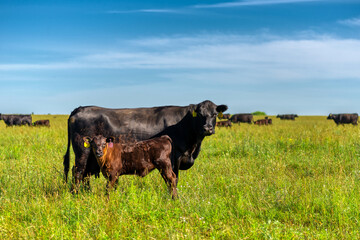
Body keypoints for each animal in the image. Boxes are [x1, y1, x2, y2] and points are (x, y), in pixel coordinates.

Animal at [64, 99, 228, 189]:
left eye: (214, 114)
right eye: (199, 114)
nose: (208, 128)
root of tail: (80, 109)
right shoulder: (174, 158)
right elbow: (173, 179)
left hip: (91, 157)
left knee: (85, 175)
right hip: (83, 153)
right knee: (77, 172)